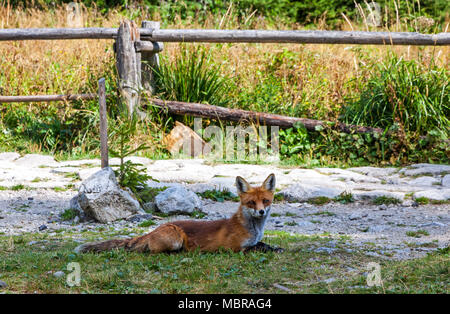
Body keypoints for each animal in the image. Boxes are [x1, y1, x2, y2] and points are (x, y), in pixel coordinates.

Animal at [75, 174, 284, 255]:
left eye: (265, 201)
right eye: (251, 203)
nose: (261, 211)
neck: (252, 229)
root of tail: (152, 230)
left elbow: (263, 244)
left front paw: (276, 248)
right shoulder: (233, 249)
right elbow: (257, 248)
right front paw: (272, 249)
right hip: (175, 238)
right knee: (153, 251)